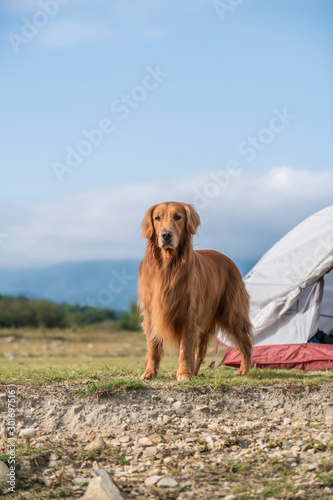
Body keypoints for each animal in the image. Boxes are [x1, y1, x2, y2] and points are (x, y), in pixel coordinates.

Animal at [136, 201, 250, 380]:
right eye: (157, 218)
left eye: (177, 217)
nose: (166, 235)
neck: (168, 267)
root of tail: (229, 260)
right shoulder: (151, 314)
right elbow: (153, 347)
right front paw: (149, 372)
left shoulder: (188, 315)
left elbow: (185, 349)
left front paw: (184, 374)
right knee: (201, 351)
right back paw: (195, 371)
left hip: (232, 313)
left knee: (245, 342)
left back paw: (244, 369)